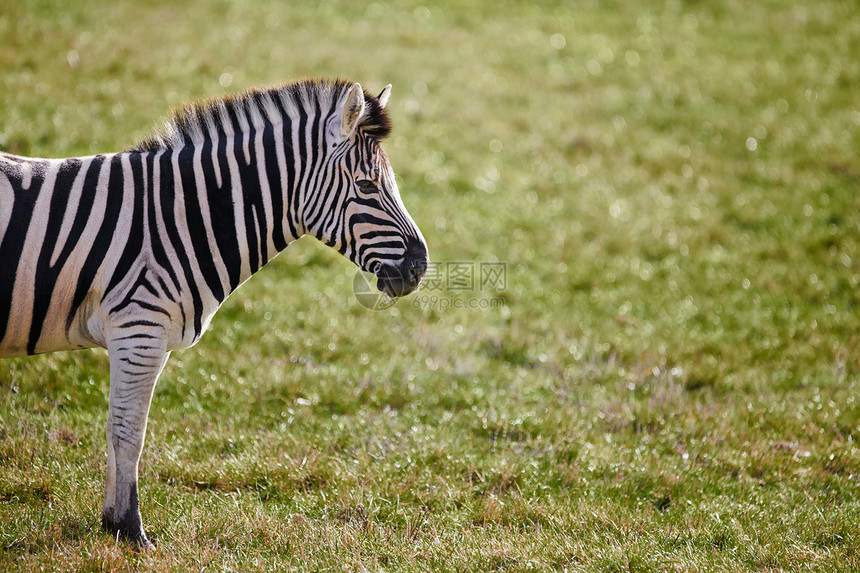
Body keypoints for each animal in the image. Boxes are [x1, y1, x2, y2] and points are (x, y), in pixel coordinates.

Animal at [0, 78, 430, 548]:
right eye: (368, 187)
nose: (420, 266)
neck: (181, 218)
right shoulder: (139, 330)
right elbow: (129, 430)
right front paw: (130, 530)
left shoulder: (136, 337)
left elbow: (117, 427)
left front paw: (112, 524)